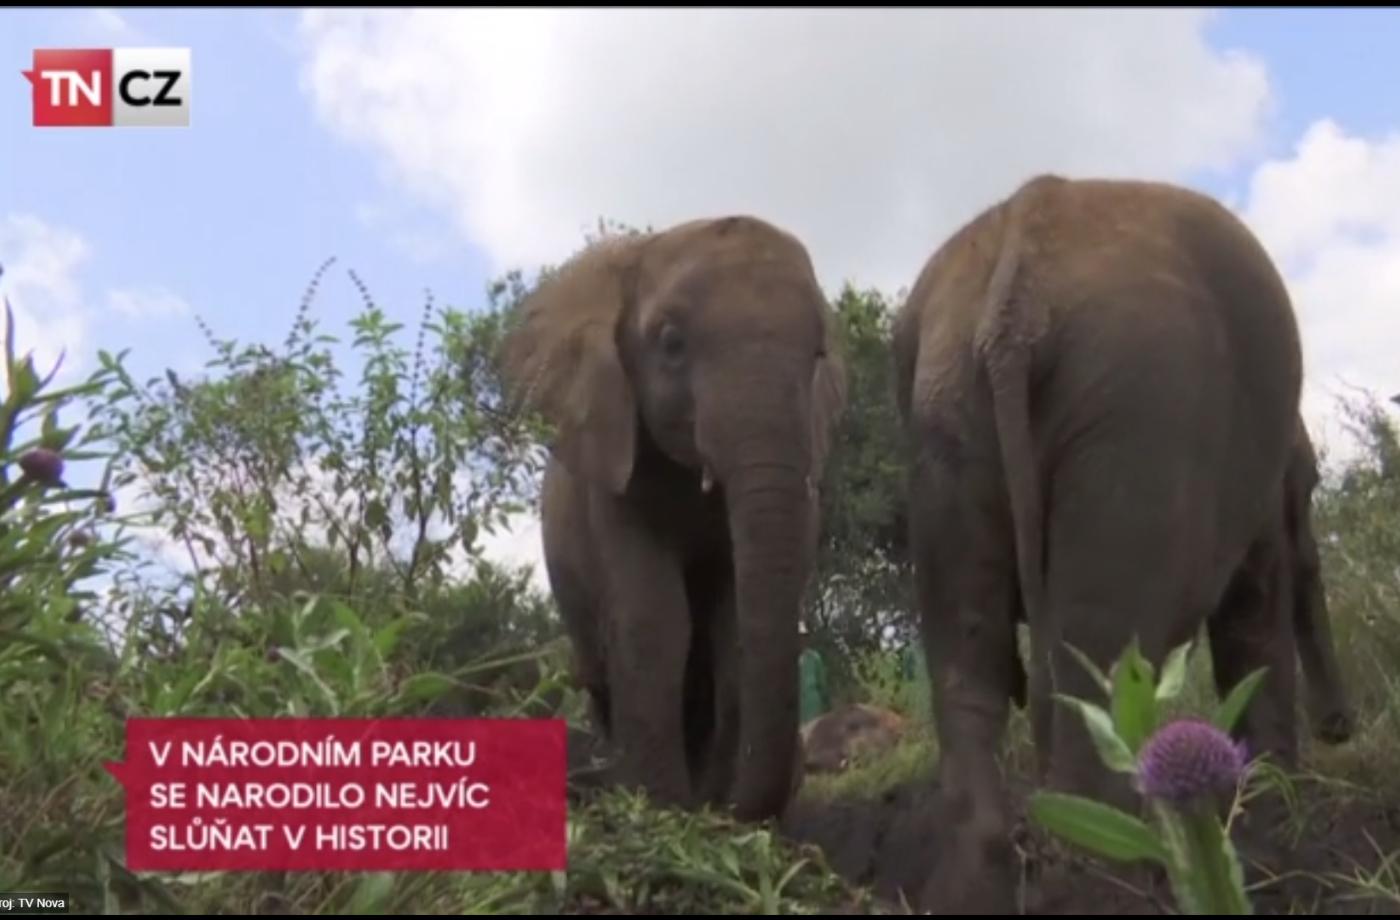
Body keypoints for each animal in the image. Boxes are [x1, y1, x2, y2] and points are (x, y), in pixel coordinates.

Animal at [500, 215, 847, 822]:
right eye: (671, 343)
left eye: (818, 354)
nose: (741, 808)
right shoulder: (611, 473)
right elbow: (654, 618)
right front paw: (660, 807)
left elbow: (732, 626)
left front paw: (708, 809)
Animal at [891, 174, 1309, 913]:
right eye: (1312, 488)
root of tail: (1014, 297)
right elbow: (1253, 629)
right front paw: (1271, 861)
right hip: (1140, 403)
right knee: (1100, 659)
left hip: (945, 410)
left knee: (971, 651)